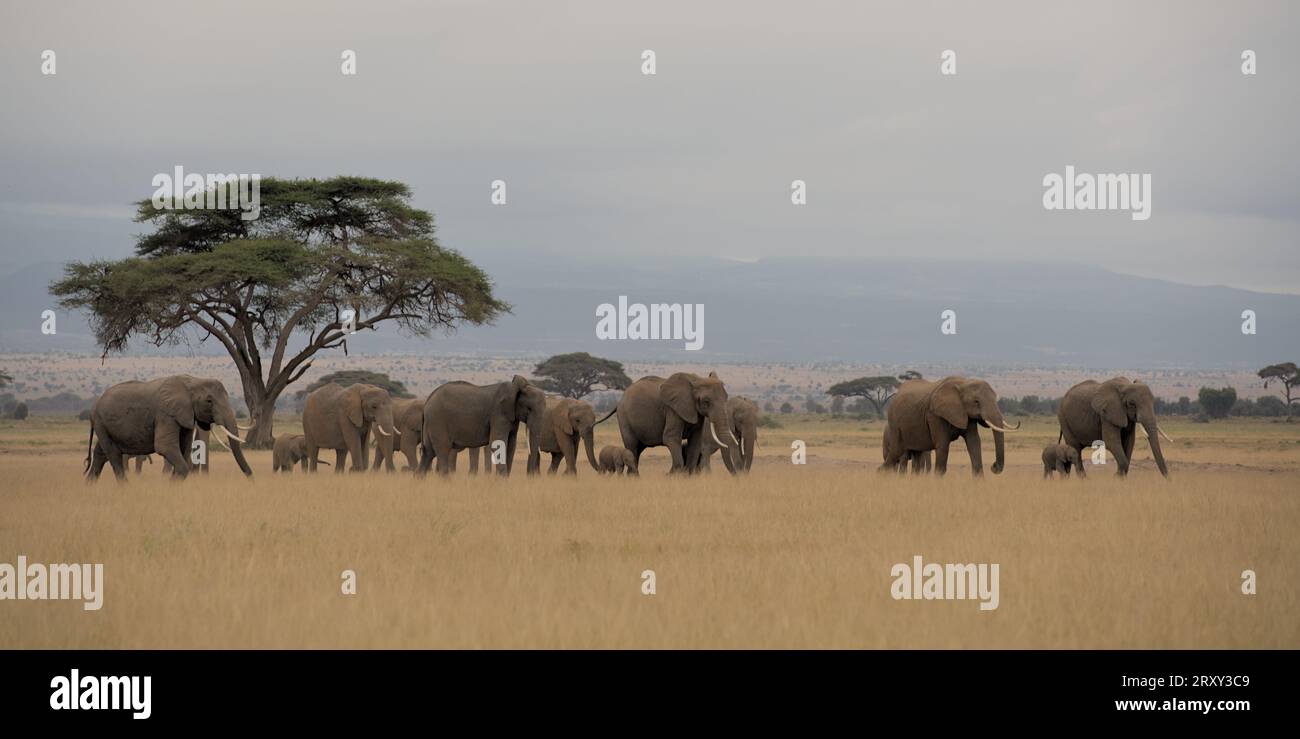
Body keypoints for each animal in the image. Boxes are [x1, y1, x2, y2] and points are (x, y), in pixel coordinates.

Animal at [84, 374, 253, 478]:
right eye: (209, 401)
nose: (252, 479)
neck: (193, 381)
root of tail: (93, 409)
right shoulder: (166, 414)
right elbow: (164, 446)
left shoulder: (185, 416)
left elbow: (184, 448)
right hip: (101, 422)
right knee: (113, 455)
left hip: (104, 425)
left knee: (100, 454)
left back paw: (89, 486)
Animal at [418, 377, 546, 476]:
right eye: (529, 408)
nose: (530, 476)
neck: (516, 388)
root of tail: (427, 401)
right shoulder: (499, 414)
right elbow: (498, 443)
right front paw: (502, 481)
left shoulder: (512, 418)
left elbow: (511, 446)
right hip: (438, 420)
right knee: (443, 450)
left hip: (432, 423)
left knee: (428, 452)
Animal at [605, 369, 733, 473]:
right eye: (706, 401)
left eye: (726, 397)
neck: (696, 380)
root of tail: (620, 401)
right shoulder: (672, 409)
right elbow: (670, 437)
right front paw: (673, 474)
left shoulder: (697, 413)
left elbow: (696, 441)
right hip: (624, 418)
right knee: (632, 447)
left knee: (638, 450)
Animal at [878, 377, 1019, 476]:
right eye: (976, 402)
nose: (993, 466)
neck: (963, 383)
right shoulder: (934, 415)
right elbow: (942, 445)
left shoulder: (965, 414)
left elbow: (974, 443)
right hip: (895, 425)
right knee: (896, 453)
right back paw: (880, 473)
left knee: (913, 455)